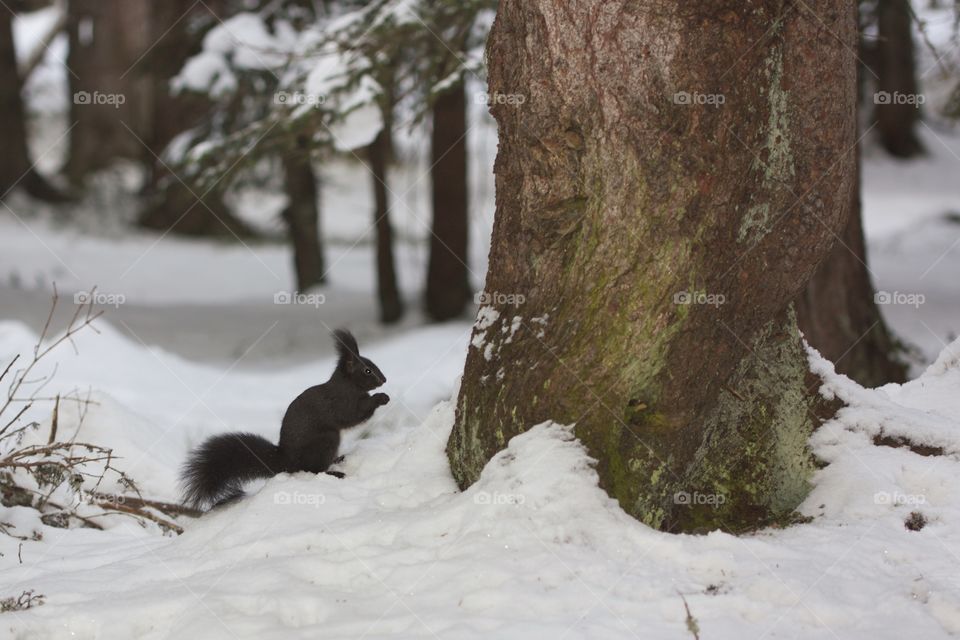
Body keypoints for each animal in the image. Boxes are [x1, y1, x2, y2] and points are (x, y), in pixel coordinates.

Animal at [180, 329, 389, 509]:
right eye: (368, 370)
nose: (384, 380)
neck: (348, 386)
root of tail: (287, 461)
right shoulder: (340, 403)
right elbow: (352, 416)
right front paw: (380, 398)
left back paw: (338, 458)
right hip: (327, 439)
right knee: (313, 469)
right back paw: (333, 471)